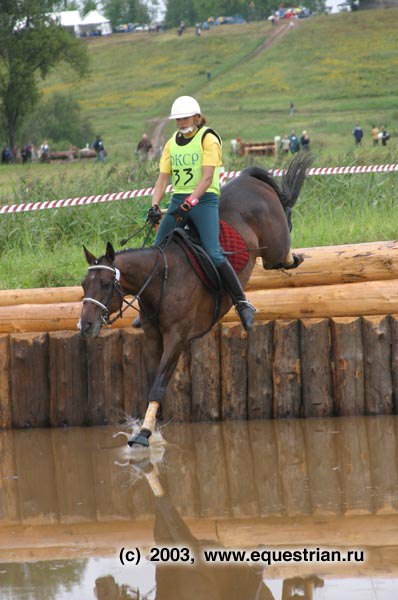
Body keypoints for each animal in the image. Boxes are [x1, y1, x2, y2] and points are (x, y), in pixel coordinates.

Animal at [80, 155, 310, 446]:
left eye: (106, 284)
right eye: (83, 284)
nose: (86, 326)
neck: (162, 280)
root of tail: (249, 178)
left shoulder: (177, 337)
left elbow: (158, 385)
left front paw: (144, 433)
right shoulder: (153, 337)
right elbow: (153, 382)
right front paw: (151, 425)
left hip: (273, 246)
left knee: (282, 250)